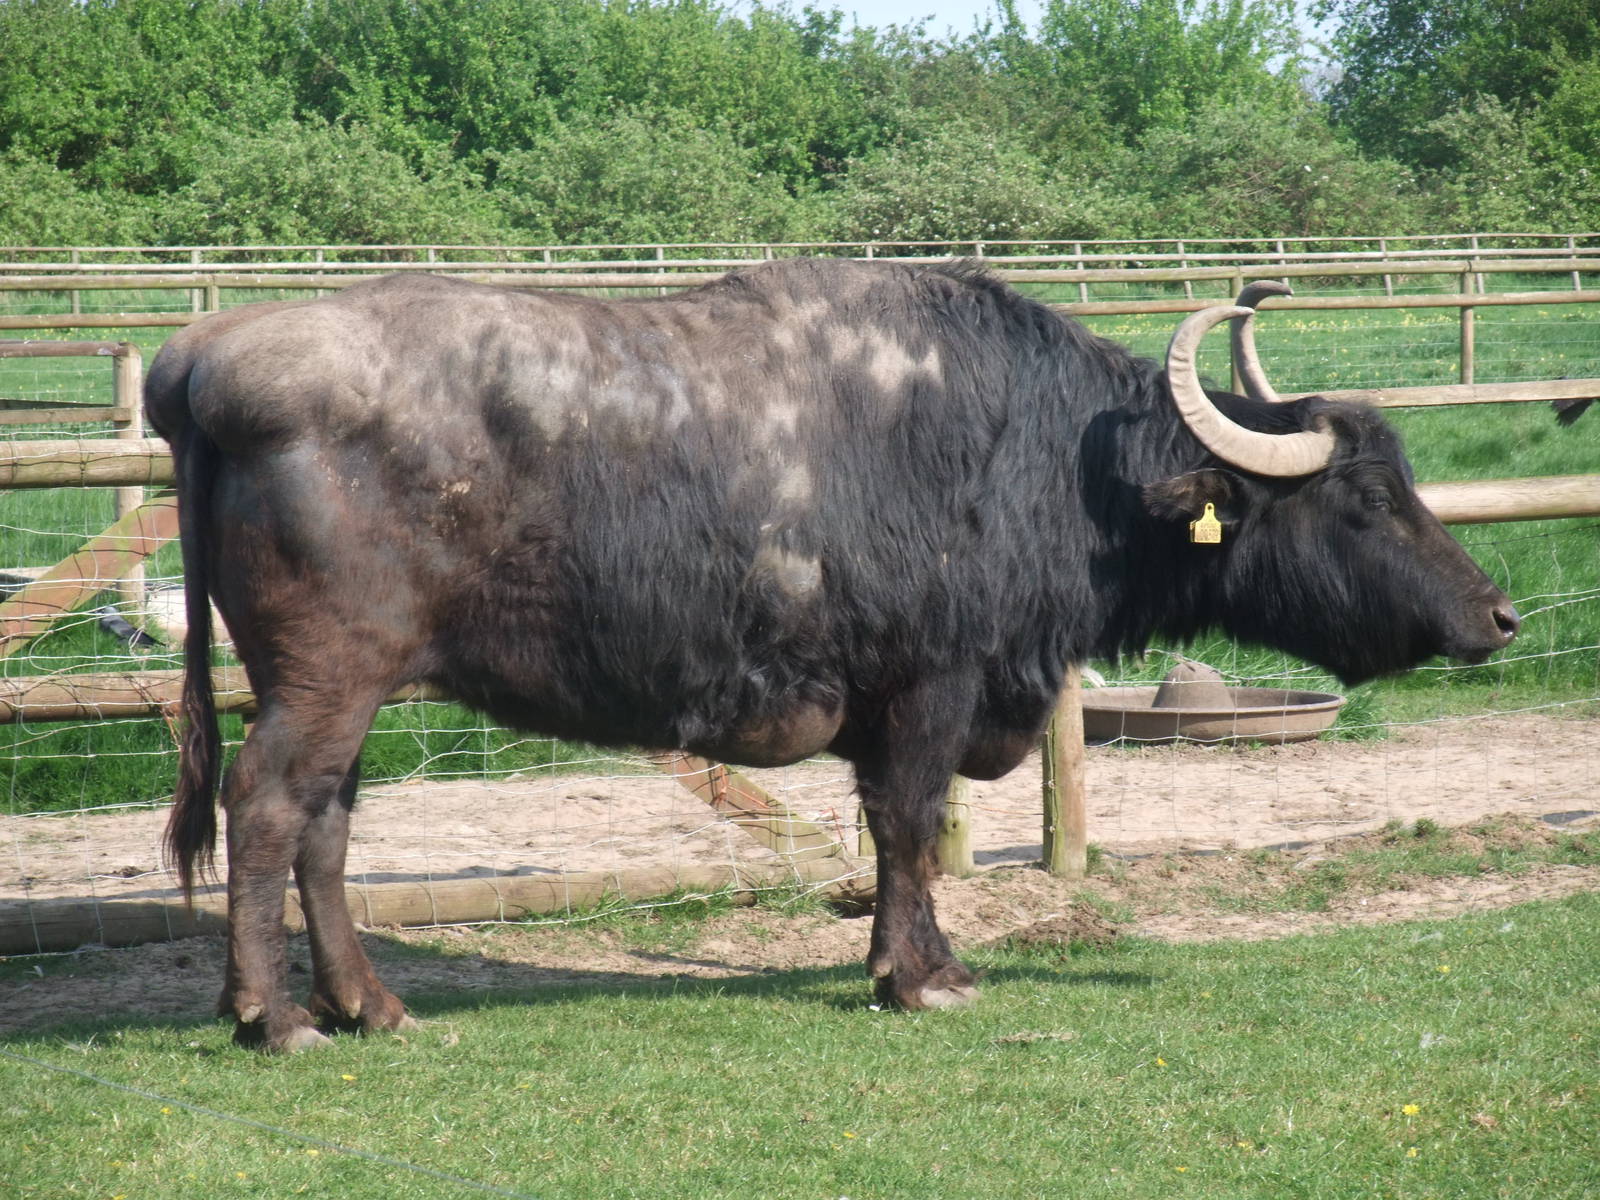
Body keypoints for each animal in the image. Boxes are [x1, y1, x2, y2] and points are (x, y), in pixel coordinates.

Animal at [146, 259, 1518, 1051]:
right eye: (1364, 501)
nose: (1496, 616)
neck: (1048, 459)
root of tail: (202, 361)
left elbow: (900, 832)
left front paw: (916, 959)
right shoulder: (928, 688)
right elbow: (909, 825)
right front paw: (920, 979)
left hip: (347, 687)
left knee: (324, 824)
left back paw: (368, 1005)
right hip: (327, 677)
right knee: (268, 807)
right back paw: (275, 1017)